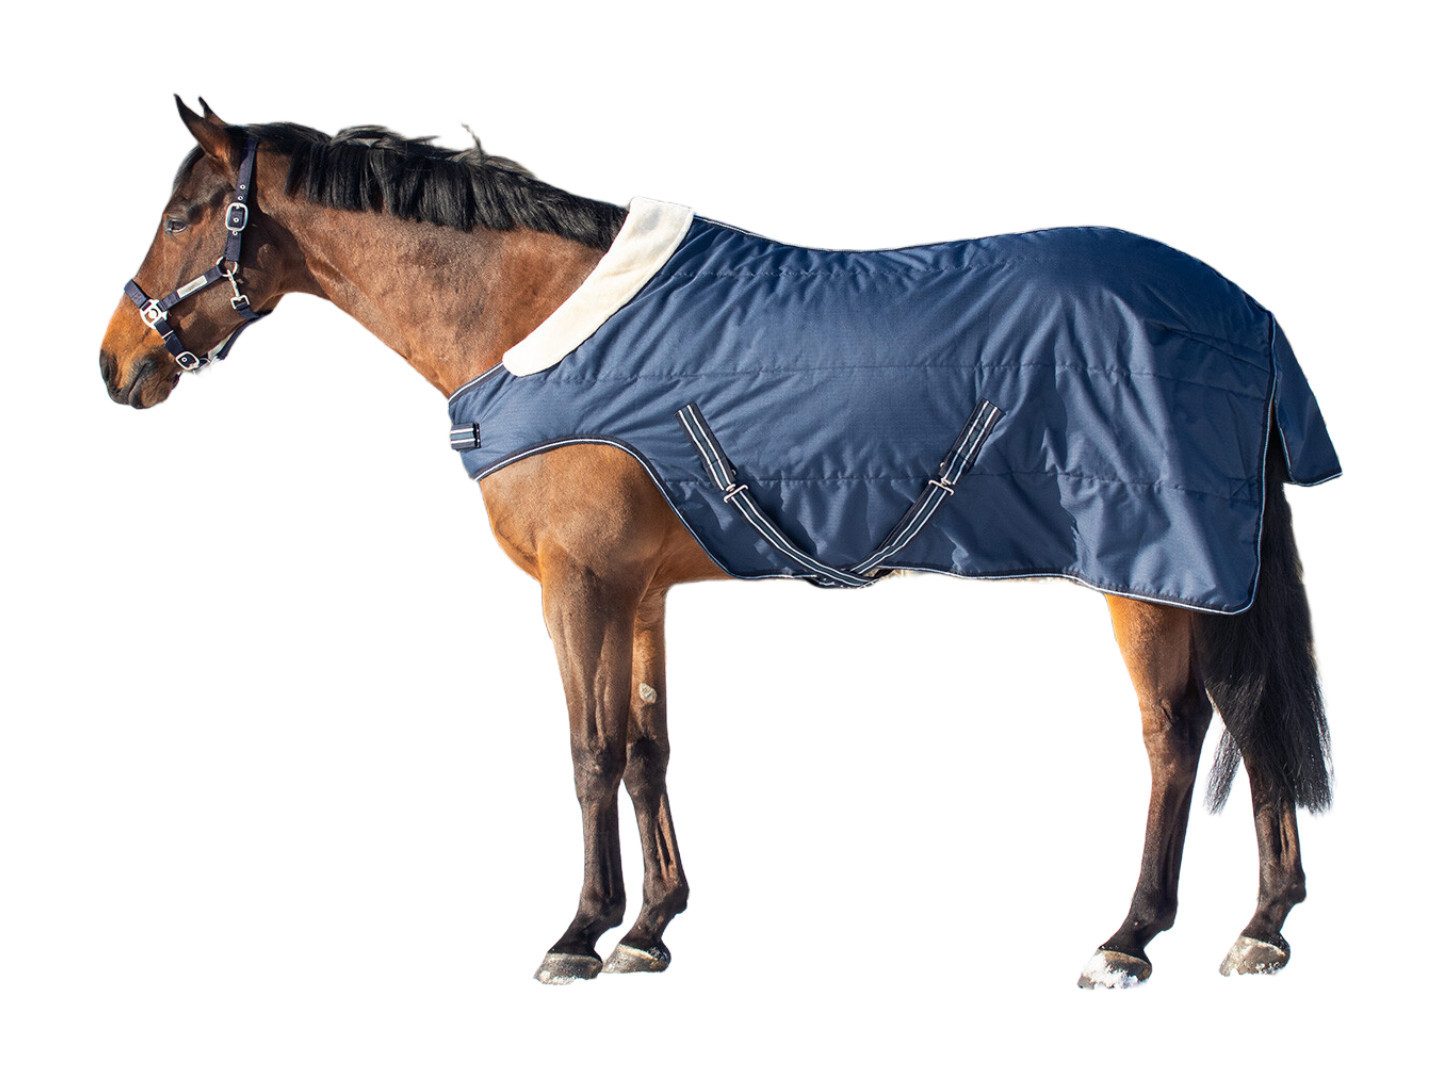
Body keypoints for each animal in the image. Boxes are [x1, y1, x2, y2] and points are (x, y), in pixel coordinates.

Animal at [99, 98, 1336, 988]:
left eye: (181, 216)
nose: (117, 364)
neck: (538, 316)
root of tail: (1244, 311)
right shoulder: (640, 590)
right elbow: (648, 747)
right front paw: (651, 928)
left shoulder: (577, 585)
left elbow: (588, 751)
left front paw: (578, 934)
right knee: (1251, 713)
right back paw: (1264, 924)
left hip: (1155, 568)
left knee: (1177, 735)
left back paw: (1130, 937)